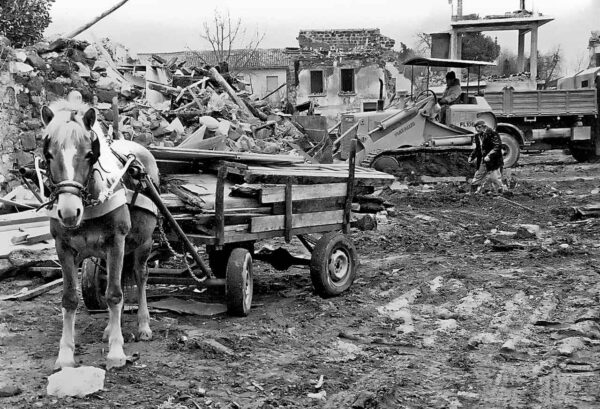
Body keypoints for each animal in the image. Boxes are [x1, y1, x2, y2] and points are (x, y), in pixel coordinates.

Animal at [41, 99, 161, 370]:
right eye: (48, 154)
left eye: (89, 154)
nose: (68, 211)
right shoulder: (63, 247)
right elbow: (69, 299)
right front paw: (65, 355)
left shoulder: (117, 241)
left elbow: (115, 295)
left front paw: (116, 352)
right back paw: (109, 329)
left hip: (144, 242)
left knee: (140, 276)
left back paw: (143, 325)